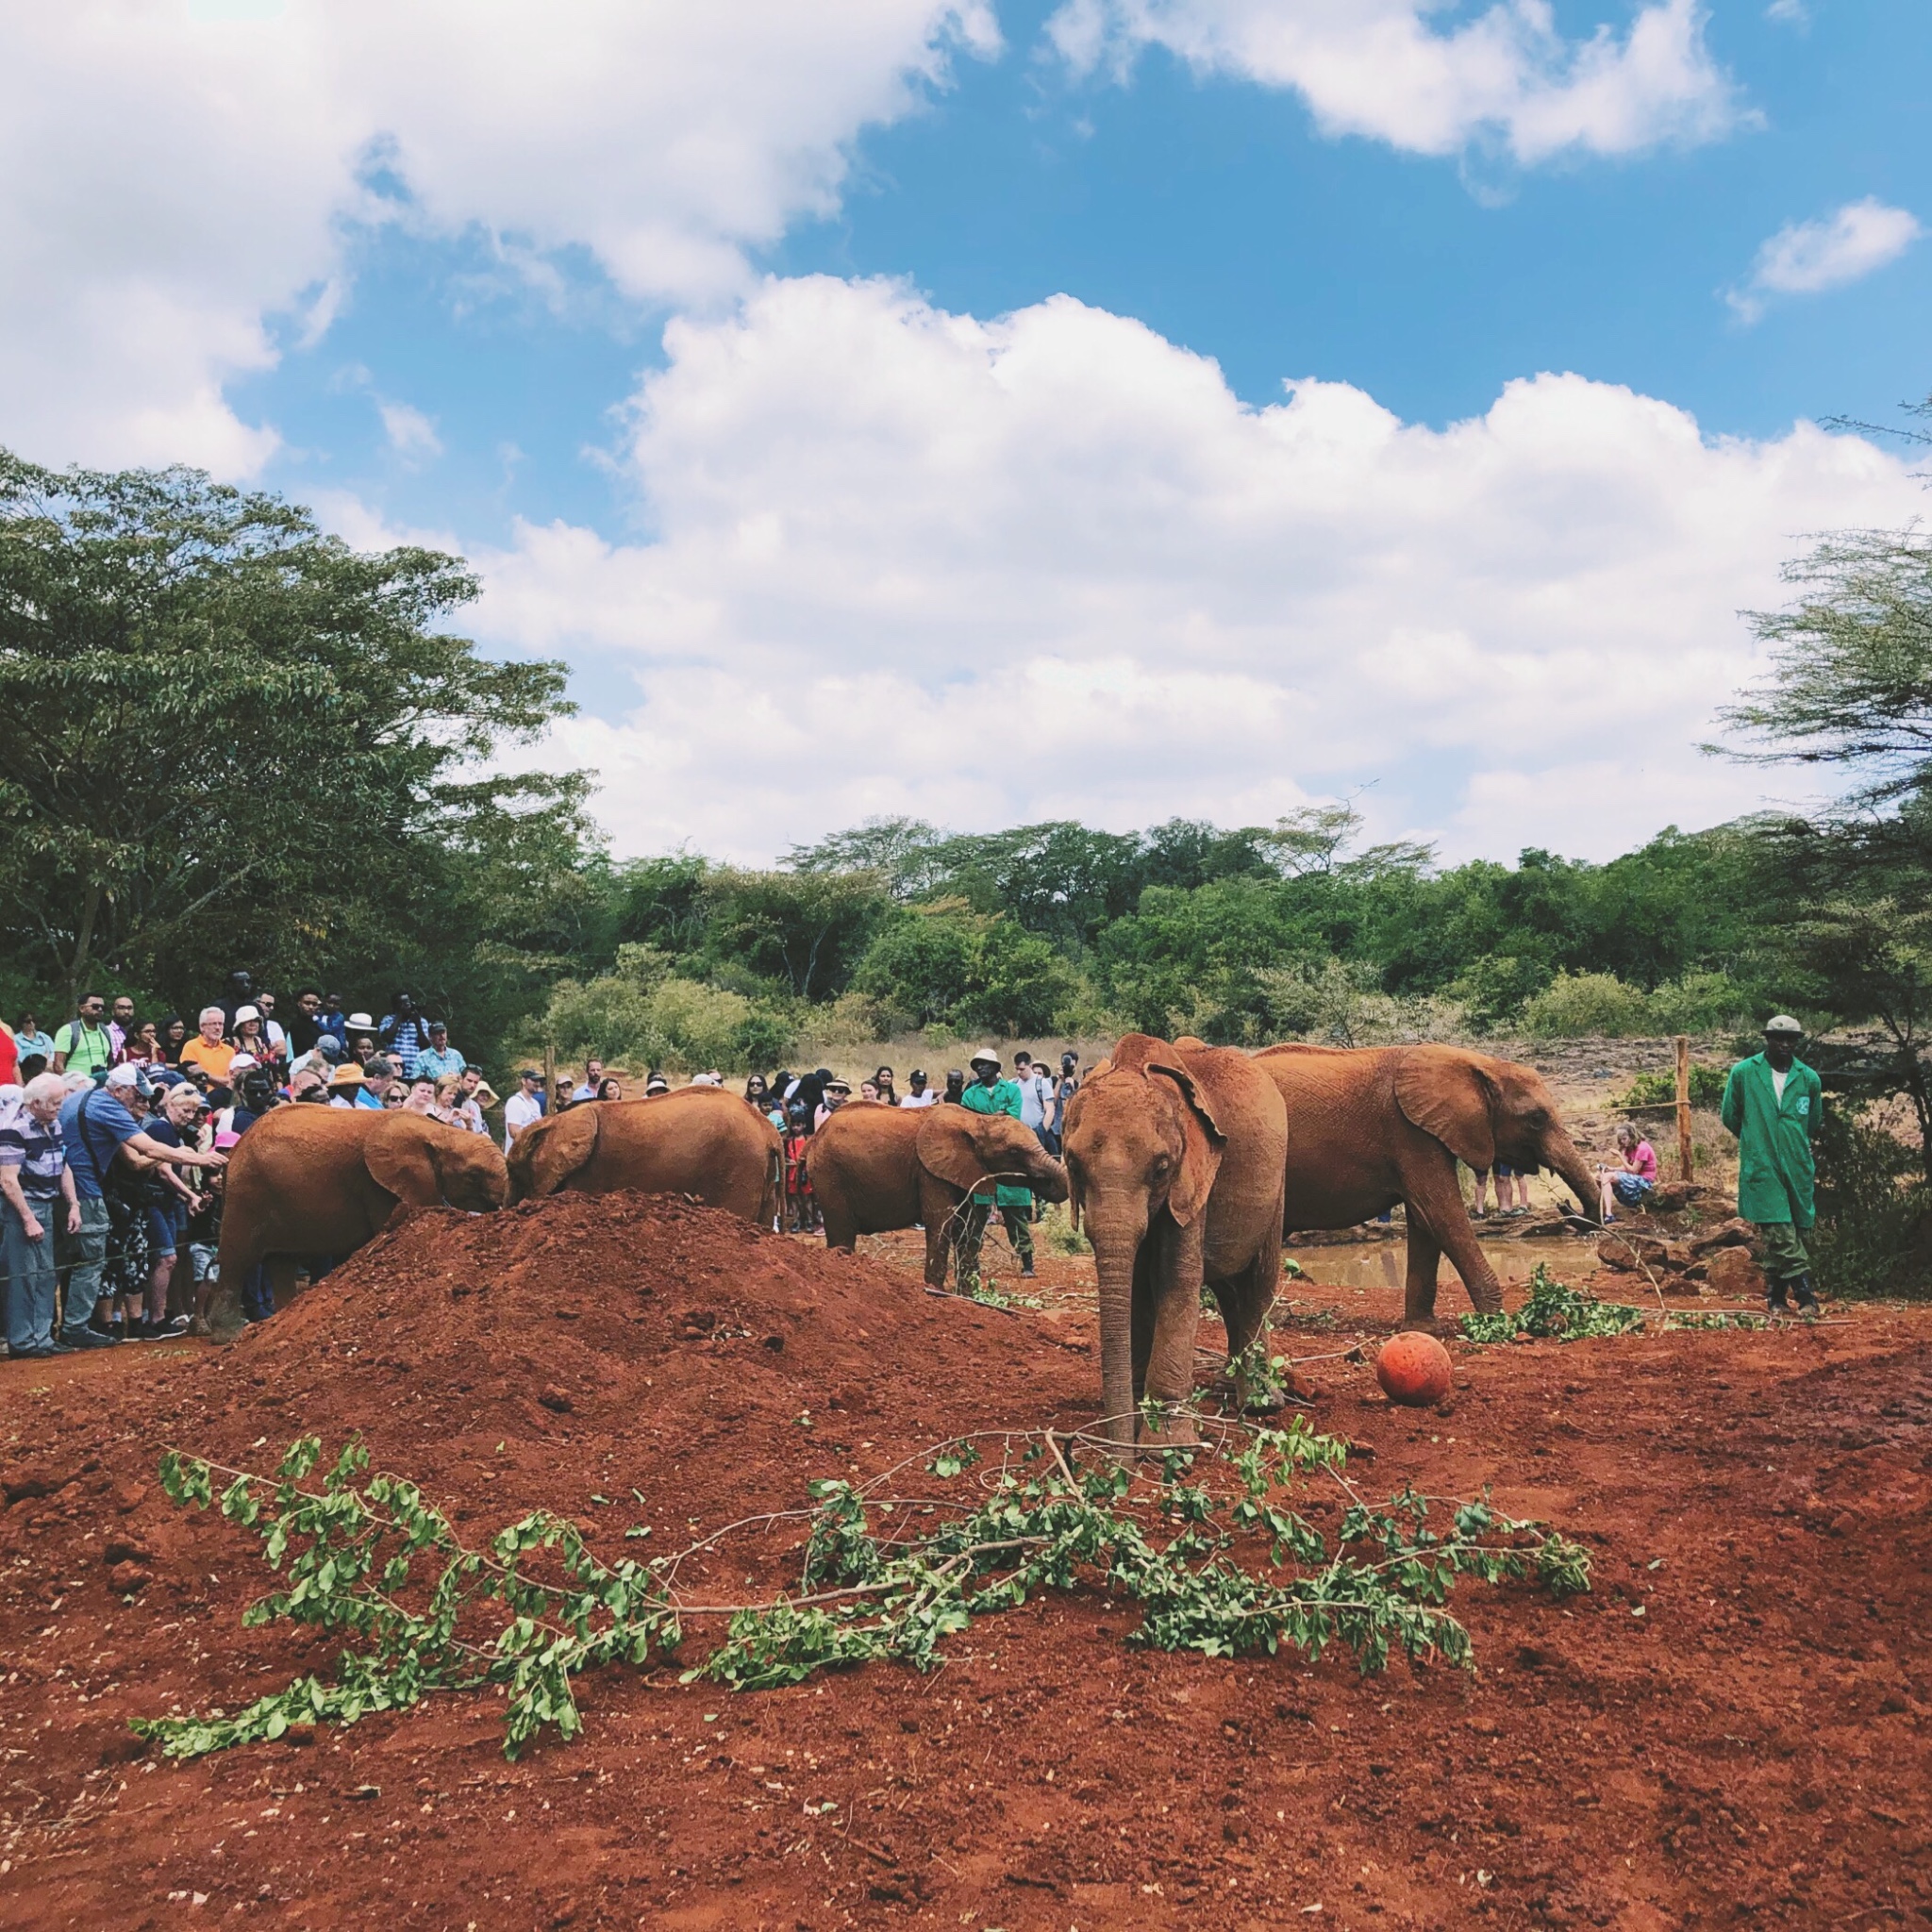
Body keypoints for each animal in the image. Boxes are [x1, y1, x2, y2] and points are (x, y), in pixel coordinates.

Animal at [200, 1112, 509, 1337]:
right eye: (473, 1175)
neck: (434, 1131)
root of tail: (232, 1154)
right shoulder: (376, 1185)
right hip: (247, 1196)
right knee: (237, 1260)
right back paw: (230, 1335)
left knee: (280, 1263)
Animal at [803, 1105, 1066, 1282]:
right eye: (1013, 1152)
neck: (976, 1120)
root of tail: (815, 1136)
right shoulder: (929, 1171)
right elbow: (940, 1222)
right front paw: (936, 1293)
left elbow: (966, 1229)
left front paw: (967, 1296)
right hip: (830, 1174)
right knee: (842, 1235)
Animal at [1066, 1035, 1291, 1444]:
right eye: (1073, 1165)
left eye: (1161, 1169)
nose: (1120, 1452)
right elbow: (1138, 1284)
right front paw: (1137, 1421)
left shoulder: (1193, 1177)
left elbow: (1176, 1276)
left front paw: (1165, 1445)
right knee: (1228, 1290)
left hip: (1278, 1183)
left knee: (1257, 1282)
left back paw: (1260, 1405)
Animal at [1252, 1042, 1599, 1329]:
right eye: (1536, 1119)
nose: (1564, 1205)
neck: (1479, 1063)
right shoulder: (1411, 1133)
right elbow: (1441, 1215)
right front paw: (1497, 1323)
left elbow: (1424, 1221)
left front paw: (1423, 1328)